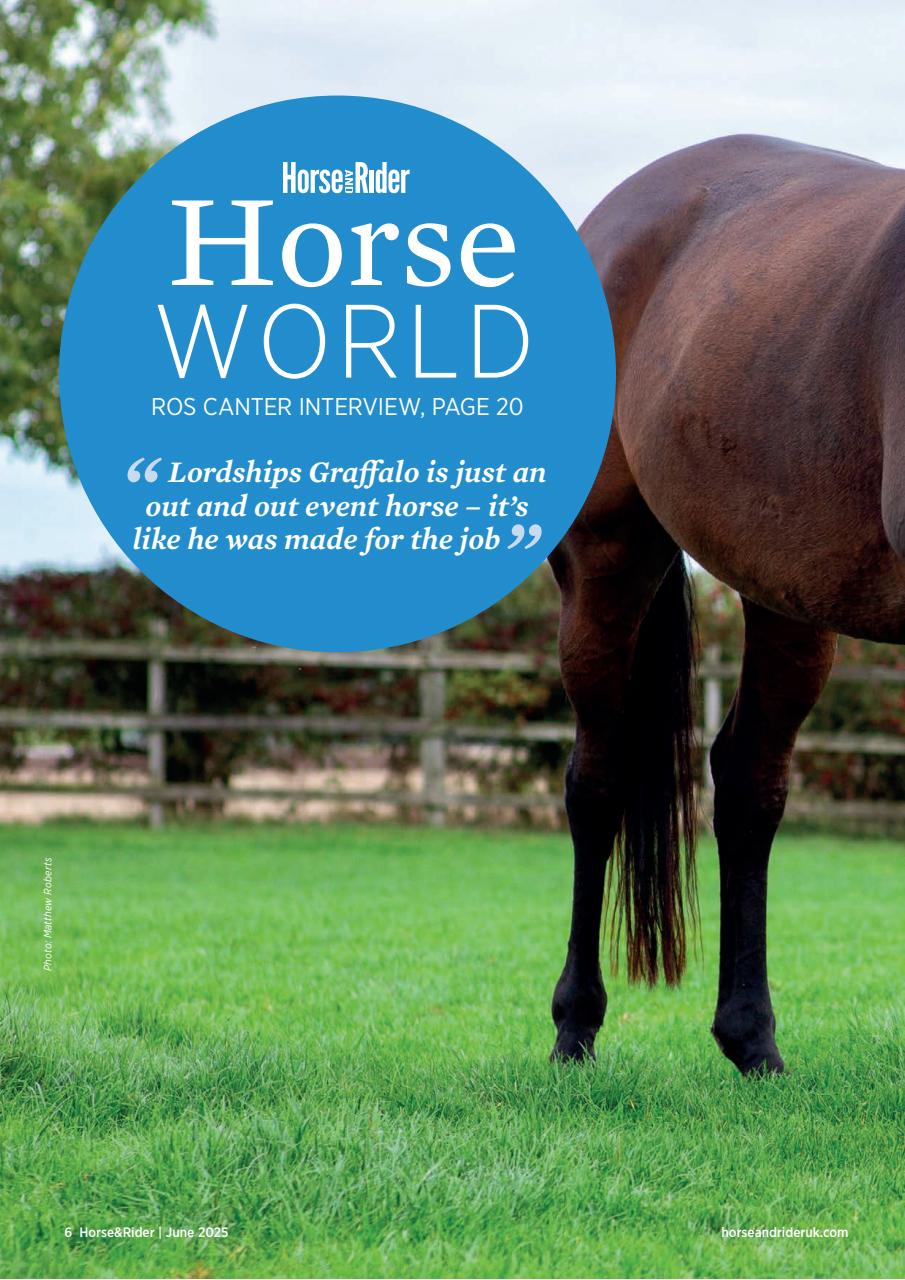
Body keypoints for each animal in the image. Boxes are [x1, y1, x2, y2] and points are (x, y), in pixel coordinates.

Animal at [549, 134, 905, 1075]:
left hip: (786, 595)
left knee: (747, 784)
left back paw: (751, 1040)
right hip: (607, 568)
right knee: (597, 782)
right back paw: (574, 1026)